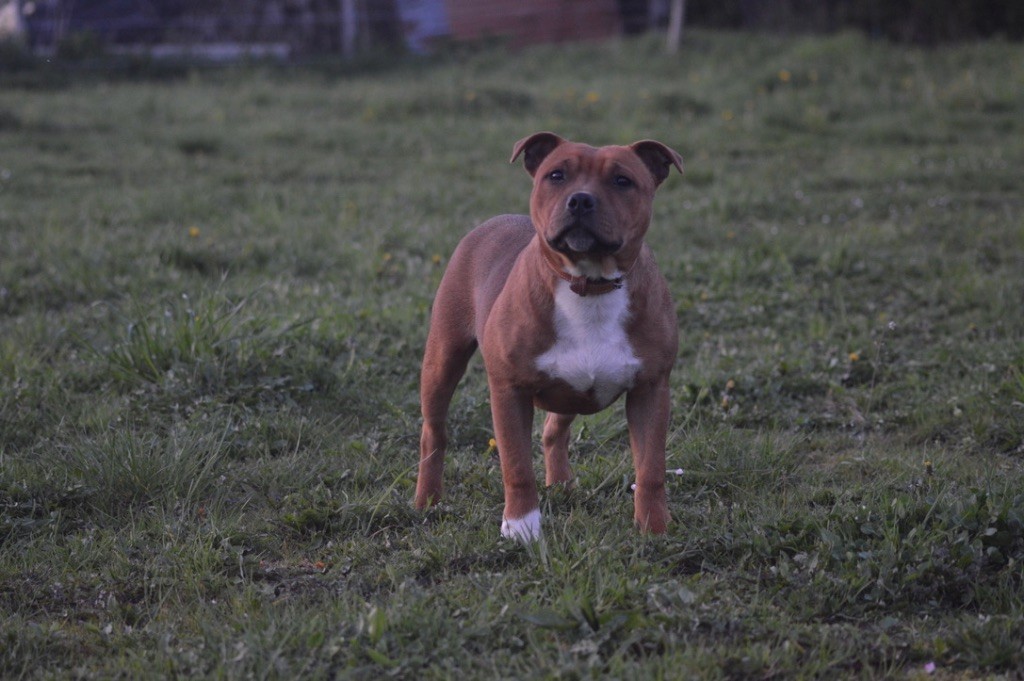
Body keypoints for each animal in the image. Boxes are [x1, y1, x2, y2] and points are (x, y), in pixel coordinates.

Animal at [411, 130, 684, 540]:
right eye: (556, 175)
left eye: (623, 181)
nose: (581, 199)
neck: (589, 284)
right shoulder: (509, 391)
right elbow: (517, 466)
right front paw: (521, 527)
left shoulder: (650, 390)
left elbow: (651, 468)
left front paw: (654, 529)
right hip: (443, 359)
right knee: (435, 432)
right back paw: (427, 500)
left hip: (569, 391)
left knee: (554, 430)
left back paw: (561, 484)